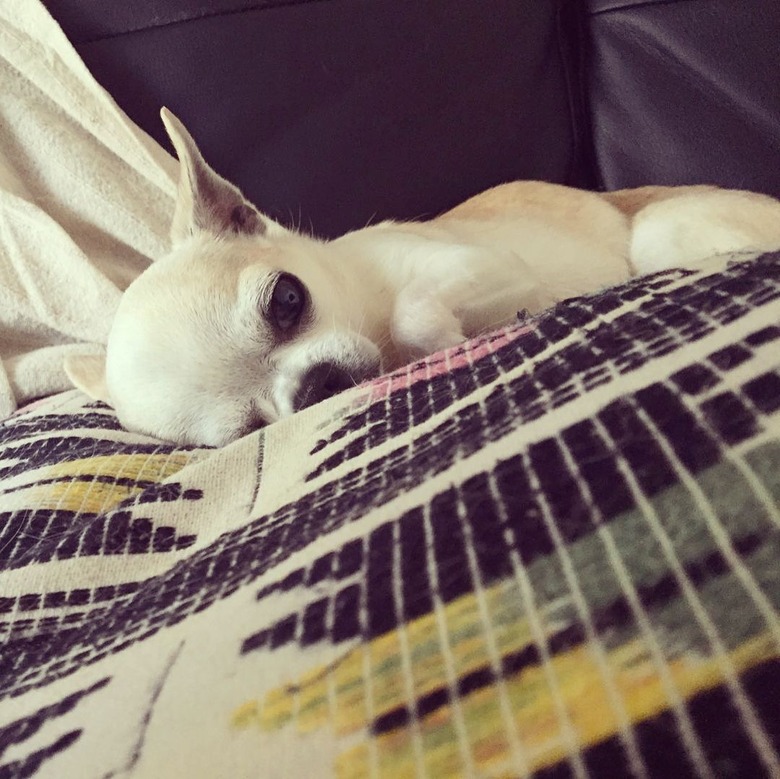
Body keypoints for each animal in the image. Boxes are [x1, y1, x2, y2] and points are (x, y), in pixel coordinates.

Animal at [65, 111, 780, 450]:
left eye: (288, 299)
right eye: (248, 431)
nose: (316, 386)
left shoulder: (486, 267)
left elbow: (414, 312)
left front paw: (446, 341)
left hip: (661, 230)